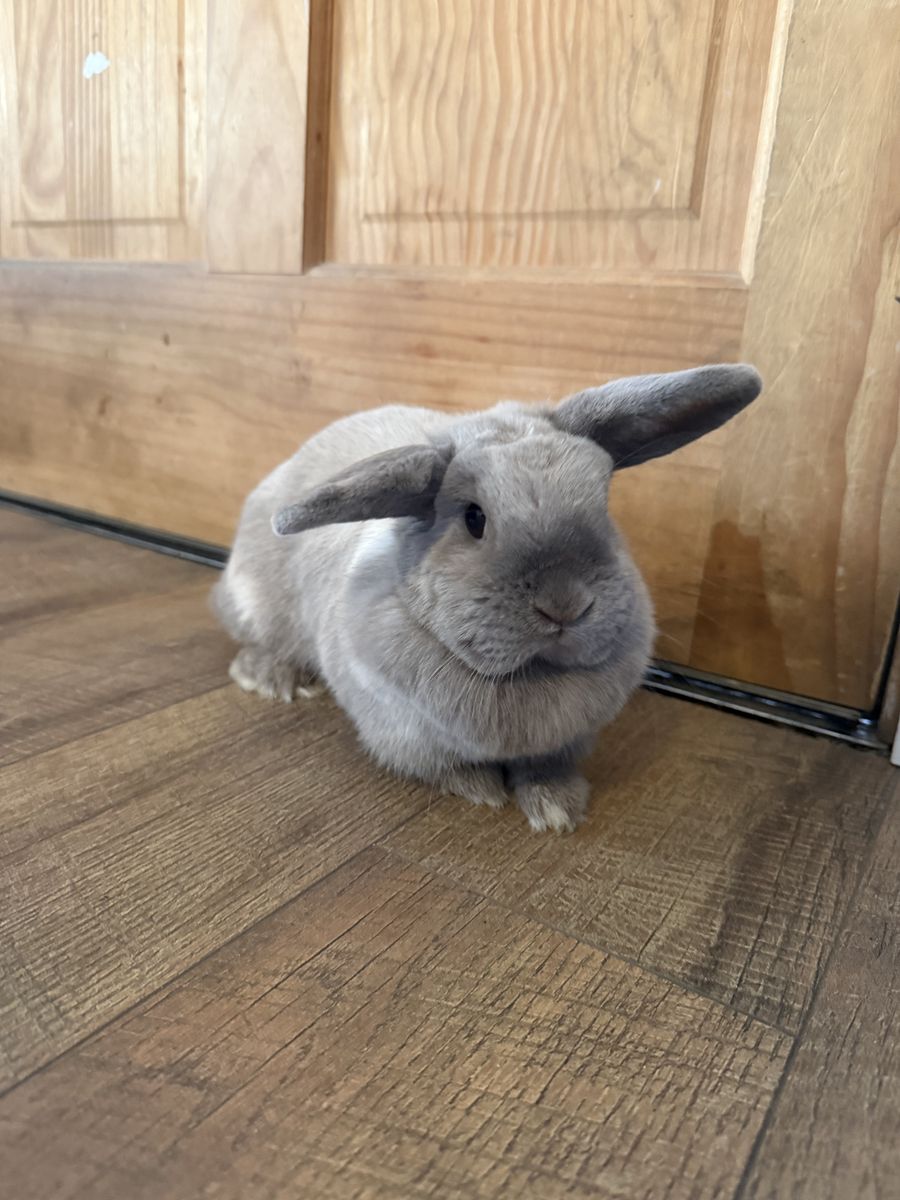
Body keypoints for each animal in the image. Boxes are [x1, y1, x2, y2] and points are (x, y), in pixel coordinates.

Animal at [213, 363, 762, 833]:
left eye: (603, 506)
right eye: (474, 518)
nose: (565, 605)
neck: (527, 677)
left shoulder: (563, 741)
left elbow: (546, 769)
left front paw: (558, 809)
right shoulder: (402, 733)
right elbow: (446, 768)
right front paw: (482, 790)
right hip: (258, 608)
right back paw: (271, 679)